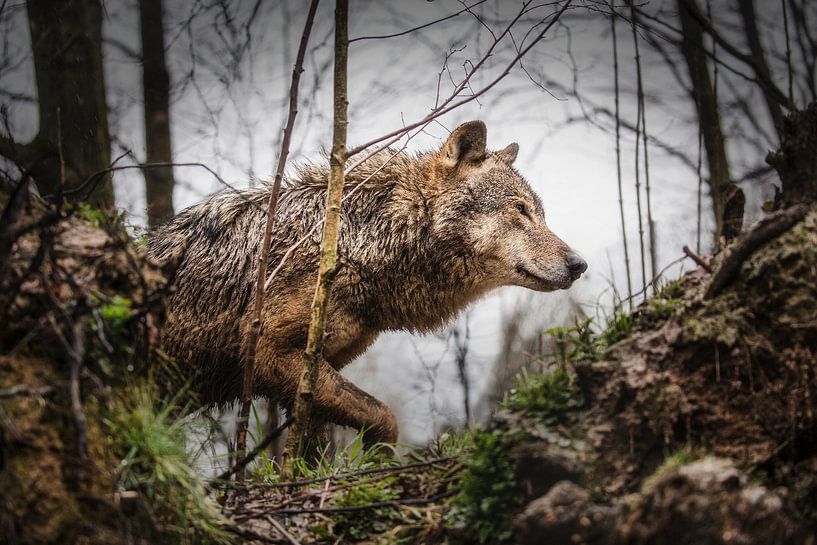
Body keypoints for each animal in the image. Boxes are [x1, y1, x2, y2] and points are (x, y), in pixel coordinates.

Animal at [148, 121, 587, 445]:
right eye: (520, 210)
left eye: (540, 213)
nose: (580, 264)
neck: (361, 238)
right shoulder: (272, 355)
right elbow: (384, 418)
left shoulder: (314, 377)